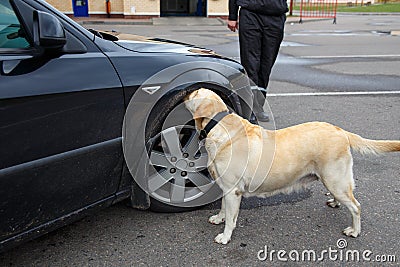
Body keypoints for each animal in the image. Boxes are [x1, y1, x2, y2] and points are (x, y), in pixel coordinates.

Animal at [184, 88, 400, 245]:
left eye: (195, 93)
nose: (185, 91)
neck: (219, 126)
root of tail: (341, 131)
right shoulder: (226, 187)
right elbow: (223, 208)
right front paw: (218, 218)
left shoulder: (233, 190)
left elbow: (231, 217)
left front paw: (225, 236)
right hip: (333, 180)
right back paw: (335, 202)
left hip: (335, 179)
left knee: (356, 206)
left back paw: (354, 230)